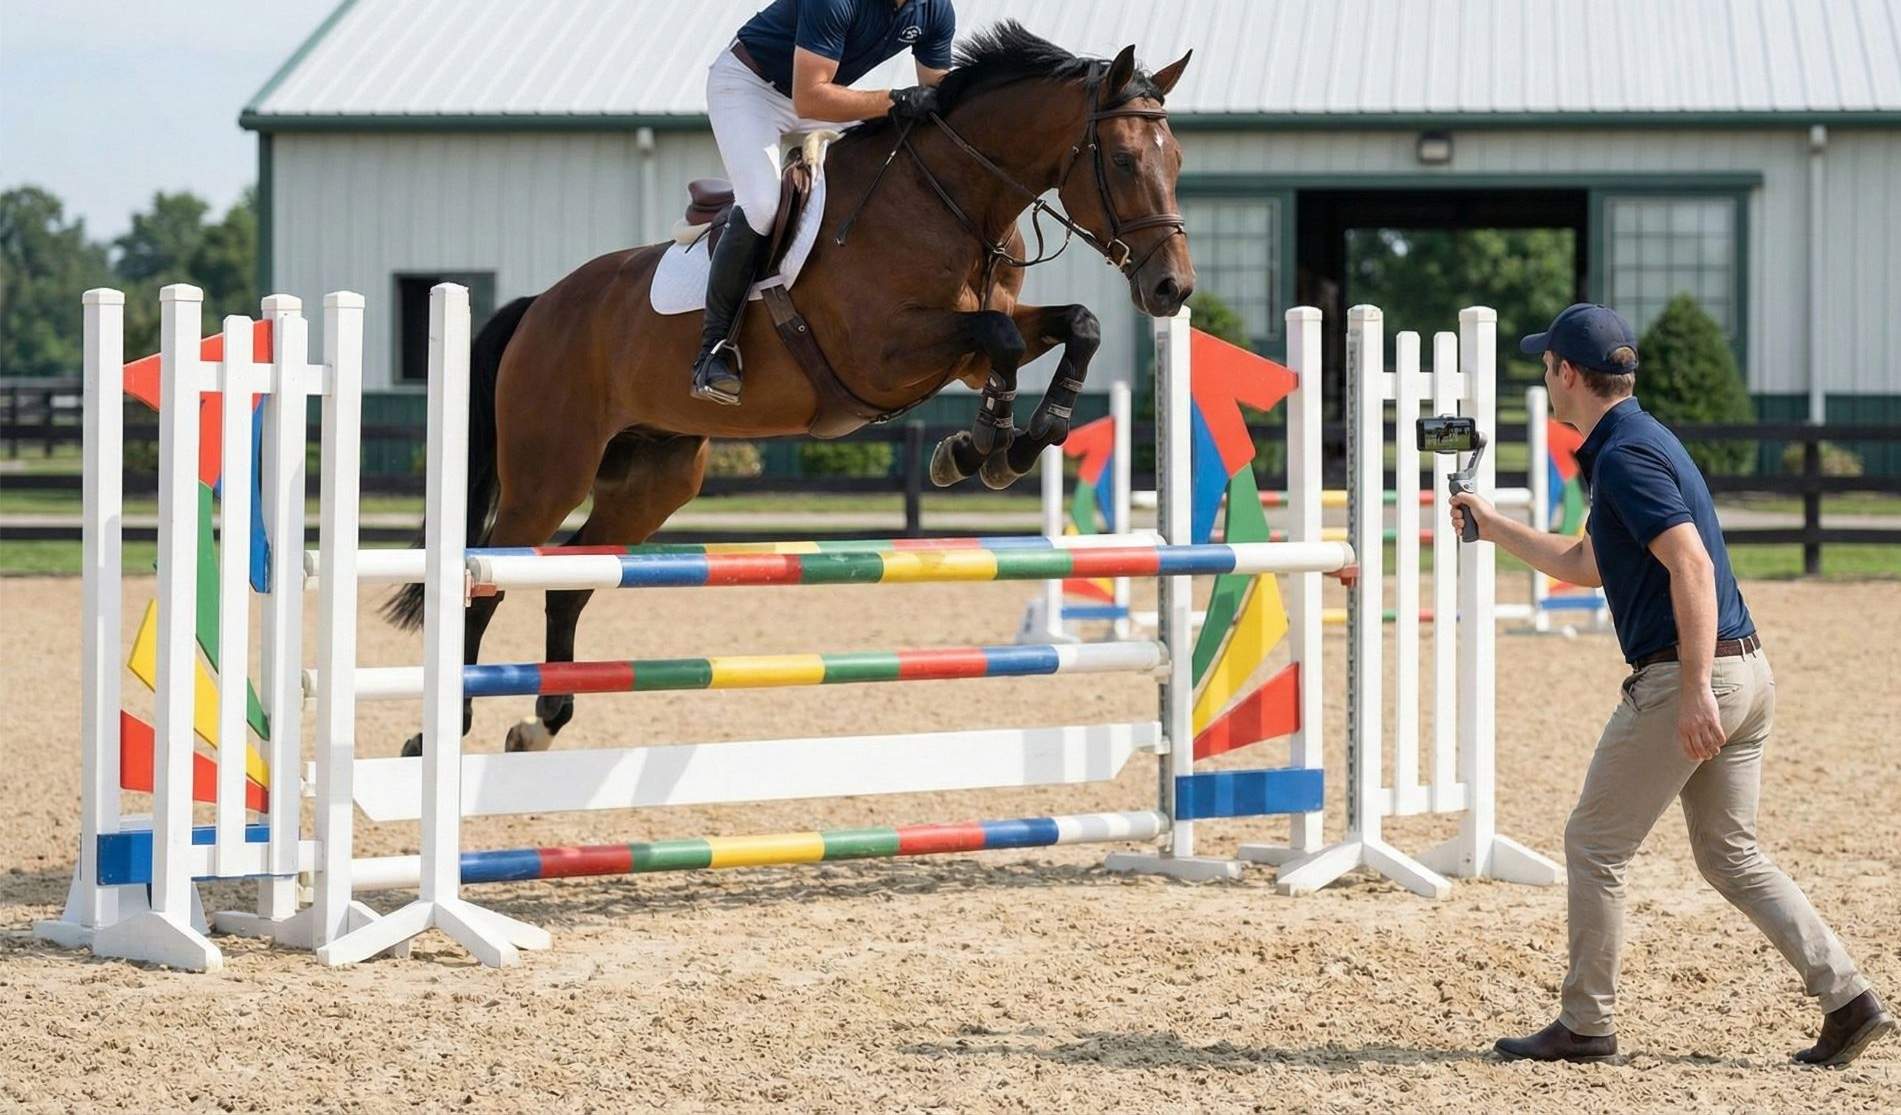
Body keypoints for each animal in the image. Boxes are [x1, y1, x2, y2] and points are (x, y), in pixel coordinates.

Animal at [387, 22, 1197, 756]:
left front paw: (1013, 442)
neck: (952, 201)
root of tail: (539, 306)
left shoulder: (968, 348)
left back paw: (541, 720)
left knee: (573, 579)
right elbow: (998, 339)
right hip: (548, 472)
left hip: (654, 479)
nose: (1173, 289)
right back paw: (439, 732)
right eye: (1124, 159)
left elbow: (1076, 325)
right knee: (488, 578)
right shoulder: (882, 352)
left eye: (1178, 159)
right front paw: (982, 447)